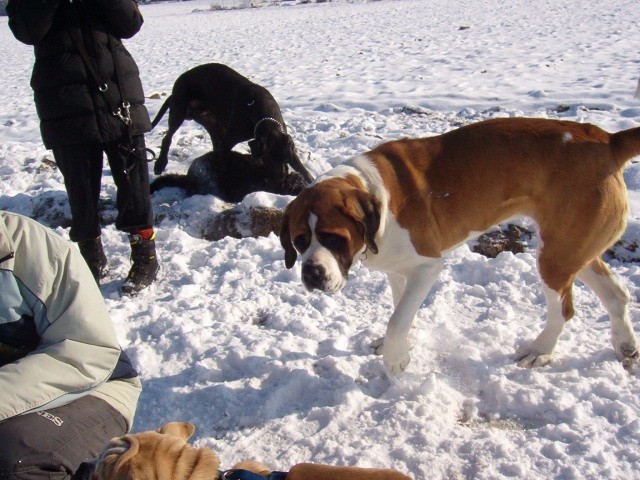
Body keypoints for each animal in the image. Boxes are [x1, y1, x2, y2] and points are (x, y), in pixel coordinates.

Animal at [152, 62, 312, 187]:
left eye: (285, 159)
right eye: (267, 158)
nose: (280, 180)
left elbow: (302, 168)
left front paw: (311, 180)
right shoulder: (228, 142)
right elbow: (224, 163)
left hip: (209, 120)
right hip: (179, 110)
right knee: (167, 137)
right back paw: (160, 164)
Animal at [280, 118, 640, 374]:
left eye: (333, 238)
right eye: (299, 241)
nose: (312, 273)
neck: (373, 192)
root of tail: (606, 139)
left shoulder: (427, 266)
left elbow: (397, 319)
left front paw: (396, 360)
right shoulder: (399, 270)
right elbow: (401, 309)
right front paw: (399, 344)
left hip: (555, 257)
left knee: (564, 310)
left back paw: (541, 351)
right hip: (572, 249)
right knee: (616, 294)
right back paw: (625, 344)